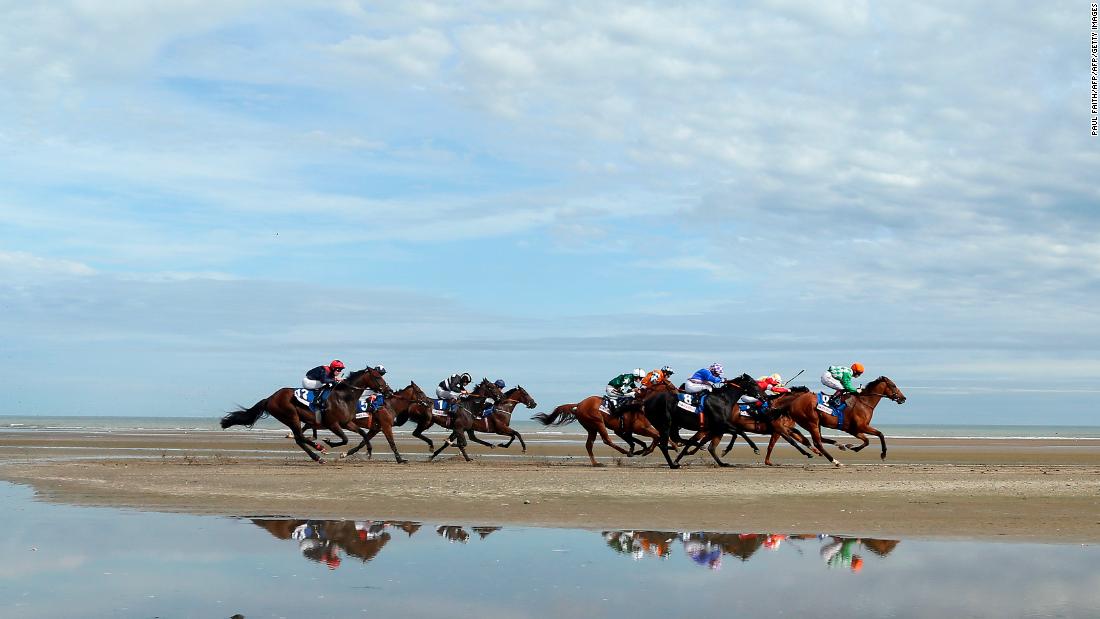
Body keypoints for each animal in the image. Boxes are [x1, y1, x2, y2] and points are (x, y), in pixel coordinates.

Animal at [221, 367, 393, 466]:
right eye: (378, 377)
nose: (389, 391)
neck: (344, 396)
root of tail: (270, 398)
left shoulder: (347, 422)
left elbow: (363, 433)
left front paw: (369, 452)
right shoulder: (333, 424)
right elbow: (344, 439)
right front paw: (328, 442)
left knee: (299, 439)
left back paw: (317, 454)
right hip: (291, 417)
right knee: (300, 438)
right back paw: (319, 450)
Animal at [765, 376, 910, 468]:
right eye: (893, 385)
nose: (903, 398)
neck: (864, 402)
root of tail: (794, 401)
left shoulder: (853, 429)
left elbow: (867, 441)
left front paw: (853, 447)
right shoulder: (861, 426)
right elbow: (880, 434)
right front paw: (883, 454)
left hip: (816, 423)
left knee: (820, 439)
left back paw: (840, 445)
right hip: (811, 422)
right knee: (818, 443)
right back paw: (835, 461)